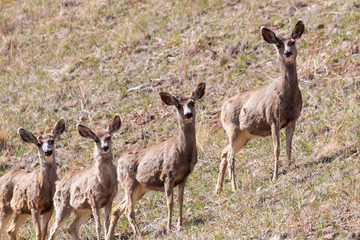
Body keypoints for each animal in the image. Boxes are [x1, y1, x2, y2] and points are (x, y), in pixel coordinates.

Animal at [105, 82, 205, 238]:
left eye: (192, 102)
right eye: (178, 106)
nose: (188, 114)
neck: (183, 151)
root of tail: (119, 162)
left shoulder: (184, 177)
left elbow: (180, 200)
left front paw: (180, 226)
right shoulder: (167, 175)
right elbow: (169, 202)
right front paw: (169, 228)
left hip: (140, 188)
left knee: (117, 209)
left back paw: (109, 236)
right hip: (129, 183)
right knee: (128, 211)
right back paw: (140, 236)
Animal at [215, 19, 306, 194]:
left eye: (292, 42)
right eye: (278, 44)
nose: (287, 53)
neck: (288, 96)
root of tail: (222, 108)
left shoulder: (292, 120)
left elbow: (288, 146)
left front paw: (290, 168)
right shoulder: (273, 118)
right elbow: (276, 148)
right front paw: (275, 177)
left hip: (244, 135)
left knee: (224, 152)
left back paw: (218, 190)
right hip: (233, 129)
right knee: (230, 156)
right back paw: (234, 187)